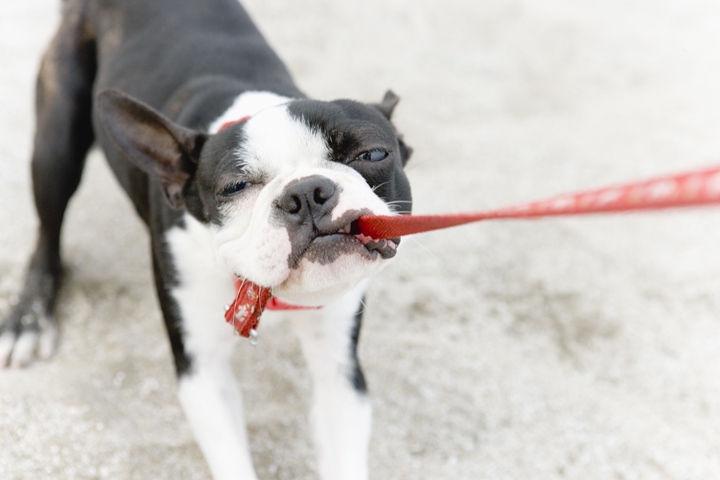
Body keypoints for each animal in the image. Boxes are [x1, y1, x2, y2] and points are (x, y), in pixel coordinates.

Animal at [0, 0, 414, 480]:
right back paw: (27, 320)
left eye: (373, 154)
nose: (307, 192)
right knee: (47, 232)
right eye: (235, 187)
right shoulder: (202, 372)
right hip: (56, 142)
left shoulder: (339, 370)